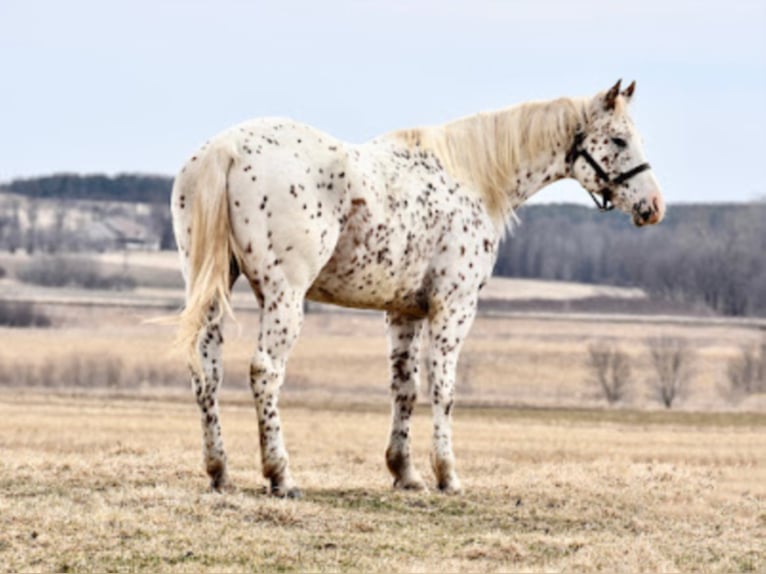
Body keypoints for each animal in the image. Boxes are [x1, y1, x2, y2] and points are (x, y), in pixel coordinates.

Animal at [171, 81, 664, 500]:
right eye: (619, 140)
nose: (653, 207)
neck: (471, 177)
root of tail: (227, 149)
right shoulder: (454, 308)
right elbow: (443, 388)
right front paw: (447, 474)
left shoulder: (403, 313)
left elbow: (404, 388)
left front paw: (405, 473)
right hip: (284, 298)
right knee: (265, 371)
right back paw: (281, 475)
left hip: (212, 291)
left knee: (207, 370)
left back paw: (219, 472)